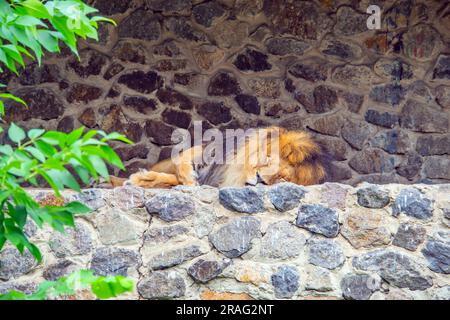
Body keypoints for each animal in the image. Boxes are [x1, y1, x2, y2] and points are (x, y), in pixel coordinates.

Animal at [110, 127, 328, 189]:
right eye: (266, 161)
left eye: (281, 179)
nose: (259, 180)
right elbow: (182, 162)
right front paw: (189, 179)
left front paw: (143, 180)